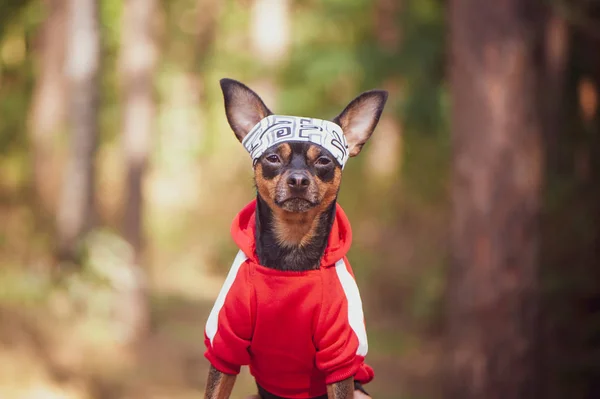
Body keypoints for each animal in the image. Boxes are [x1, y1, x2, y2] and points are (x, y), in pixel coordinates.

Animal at [204, 79, 386, 399]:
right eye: (273, 158)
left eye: (324, 160)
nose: (298, 179)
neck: (292, 248)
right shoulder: (223, 346)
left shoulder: (340, 358)